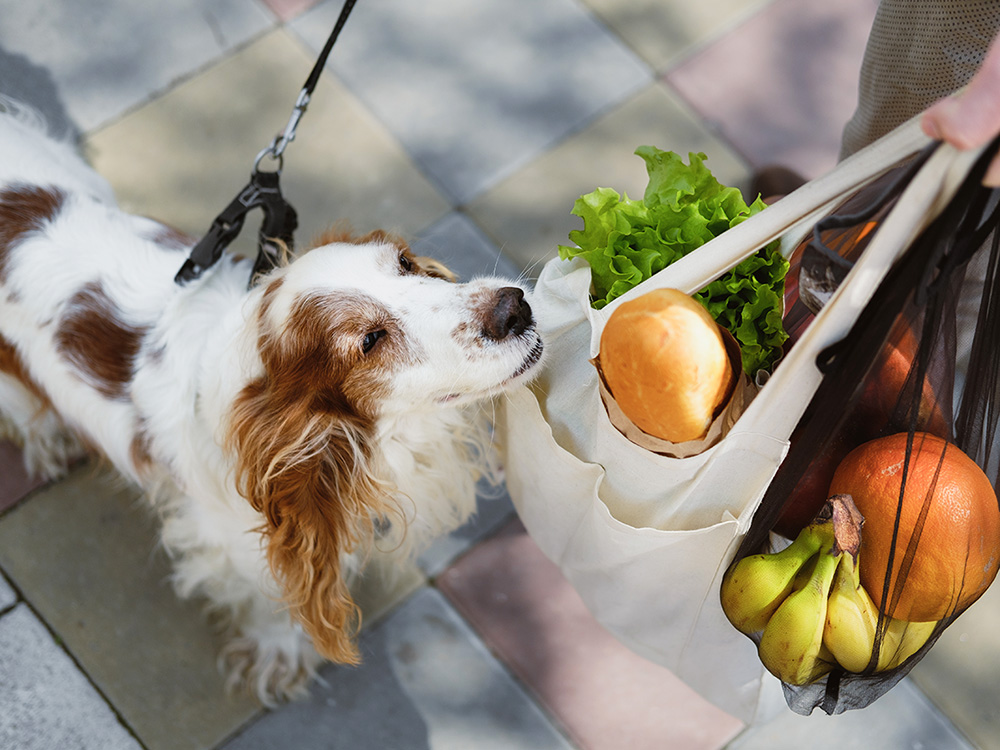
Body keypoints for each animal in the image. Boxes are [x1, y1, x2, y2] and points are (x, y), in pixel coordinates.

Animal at [0, 103, 548, 708]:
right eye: (370, 341)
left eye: (406, 263)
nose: (513, 309)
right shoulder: (235, 536)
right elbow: (272, 597)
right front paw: (280, 654)